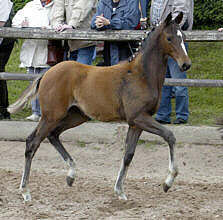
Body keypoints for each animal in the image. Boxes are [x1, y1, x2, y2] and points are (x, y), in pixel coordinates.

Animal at [7, 12, 191, 201]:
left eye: (183, 37)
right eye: (169, 38)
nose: (186, 64)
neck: (142, 75)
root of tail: (47, 73)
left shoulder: (136, 123)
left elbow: (128, 155)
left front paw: (120, 191)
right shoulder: (138, 117)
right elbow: (169, 136)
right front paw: (168, 182)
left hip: (76, 116)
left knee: (53, 135)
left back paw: (71, 175)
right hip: (52, 116)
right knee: (32, 143)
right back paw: (25, 191)